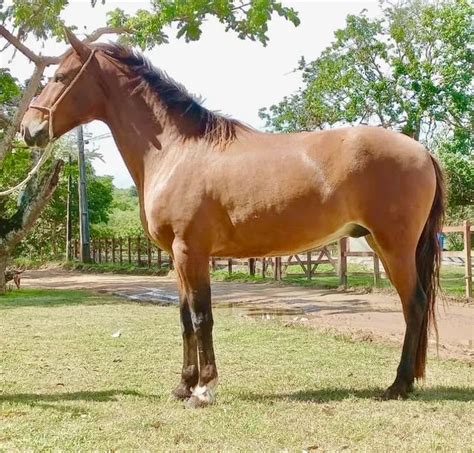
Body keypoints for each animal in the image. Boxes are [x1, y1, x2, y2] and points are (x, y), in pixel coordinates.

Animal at [21, 30, 444, 406]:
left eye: (60, 77)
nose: (29, 129)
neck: (176, 151)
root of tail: (422, 150)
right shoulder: (177, 257)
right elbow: (183, 319)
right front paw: (183, 386)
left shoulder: (191, 251)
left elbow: (201, 317)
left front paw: (203, 390)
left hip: (393, 247)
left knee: (414, 304)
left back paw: (398, 385)